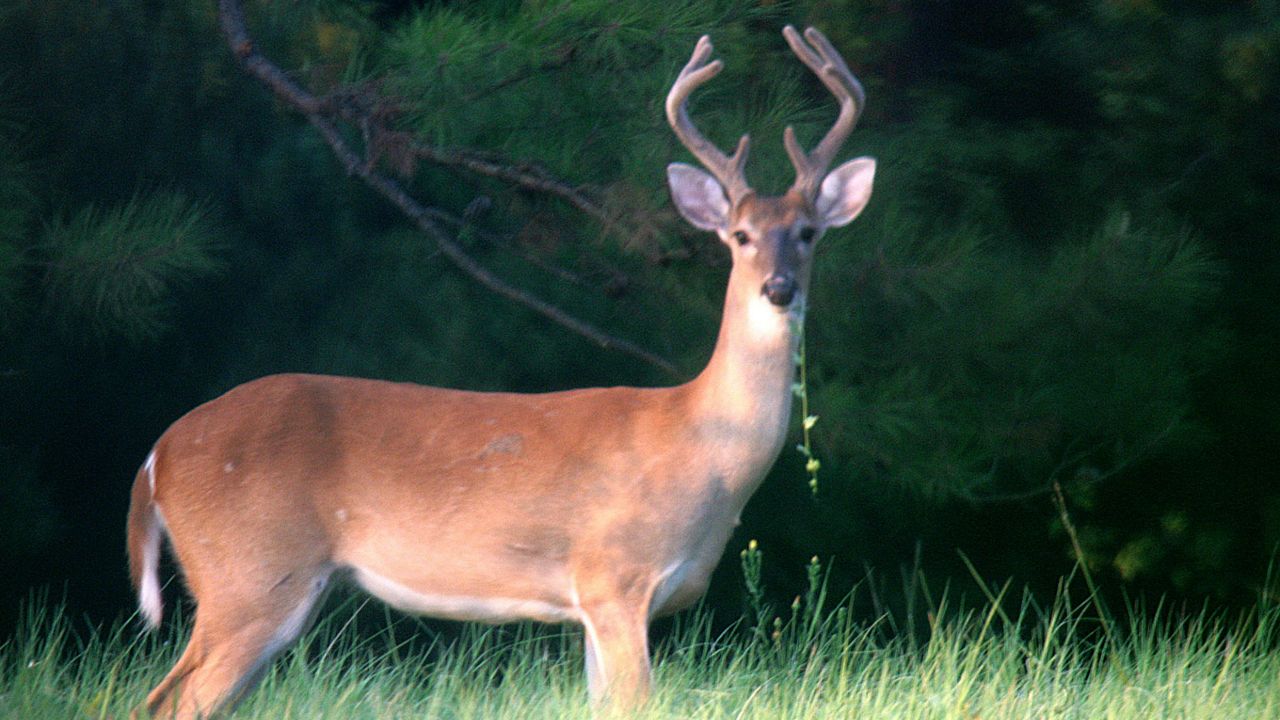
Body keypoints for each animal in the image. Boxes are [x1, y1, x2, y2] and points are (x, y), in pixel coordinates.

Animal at [127, 25, 870, 712]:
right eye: (741, 235)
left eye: (808, 233)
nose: (779, 288)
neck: (703, 446)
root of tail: (157, 457)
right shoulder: (615, 575)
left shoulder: (597, 605)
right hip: (251, 573)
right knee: (167, 700)